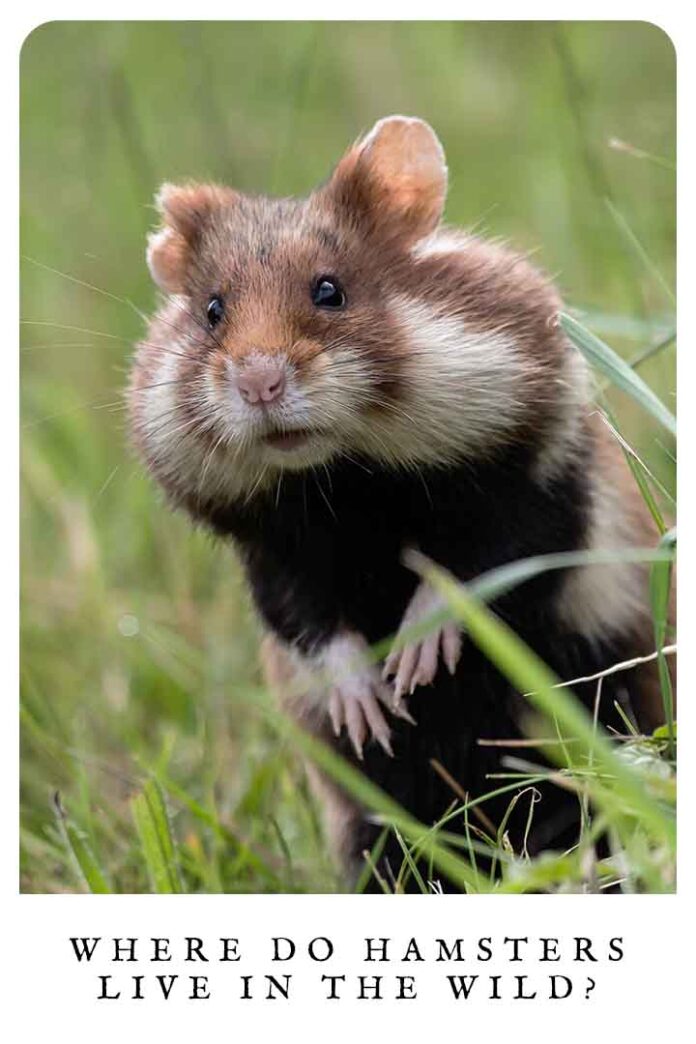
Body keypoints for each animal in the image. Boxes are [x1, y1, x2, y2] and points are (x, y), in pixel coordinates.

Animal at [129, 116, 671, 889]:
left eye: (330, 291)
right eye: (211, 311)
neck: (349, 483)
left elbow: (479, 563)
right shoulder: (272, 553)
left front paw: (413, 663)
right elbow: (310, 622)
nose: (260, 383)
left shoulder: (540, 483)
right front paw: (371, 707)